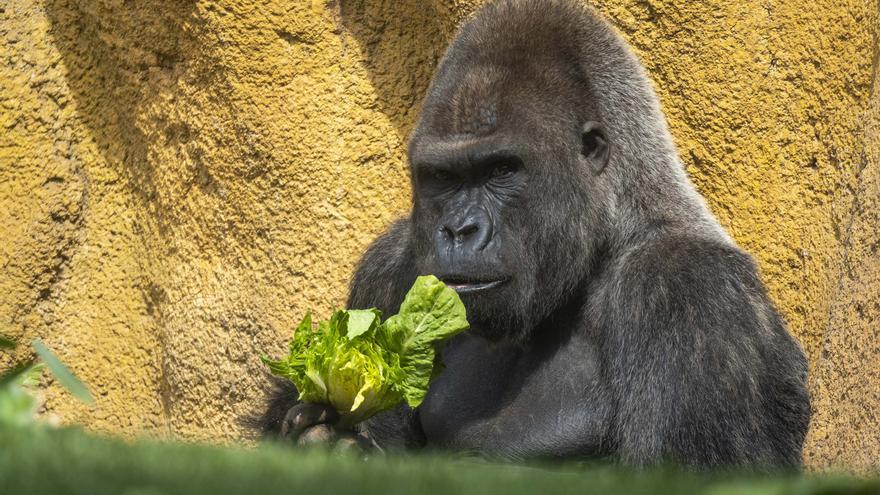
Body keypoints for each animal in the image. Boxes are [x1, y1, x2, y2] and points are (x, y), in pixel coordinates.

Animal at [262, 0, 812, 472]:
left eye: (502, 170)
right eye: (442, 177)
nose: (459, 229)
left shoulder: (690, 291)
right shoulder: (390, 266)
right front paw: (318, 437)